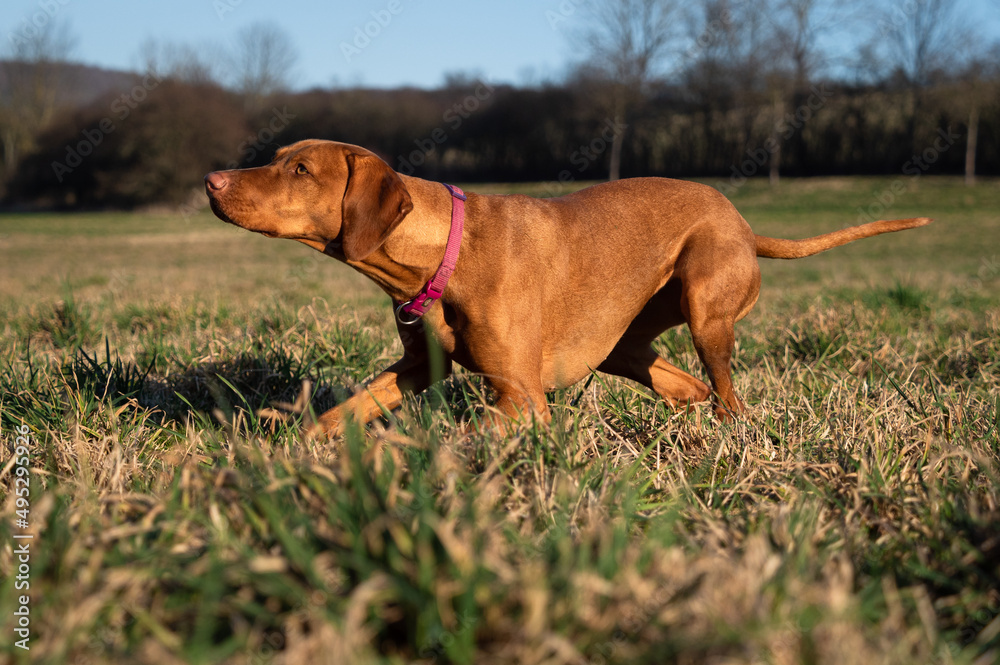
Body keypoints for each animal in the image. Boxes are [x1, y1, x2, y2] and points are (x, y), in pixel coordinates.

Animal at [207, 139, 932, 436]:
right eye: (276, 159)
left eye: (300, 169)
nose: (211, 181)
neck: (444, 252)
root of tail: (745, 224)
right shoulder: (419, 366)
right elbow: (348, 409)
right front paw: (289, 446)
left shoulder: (522, 396)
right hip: (625, 345)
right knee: (688, 389)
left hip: (705, 307)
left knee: (728, 394)